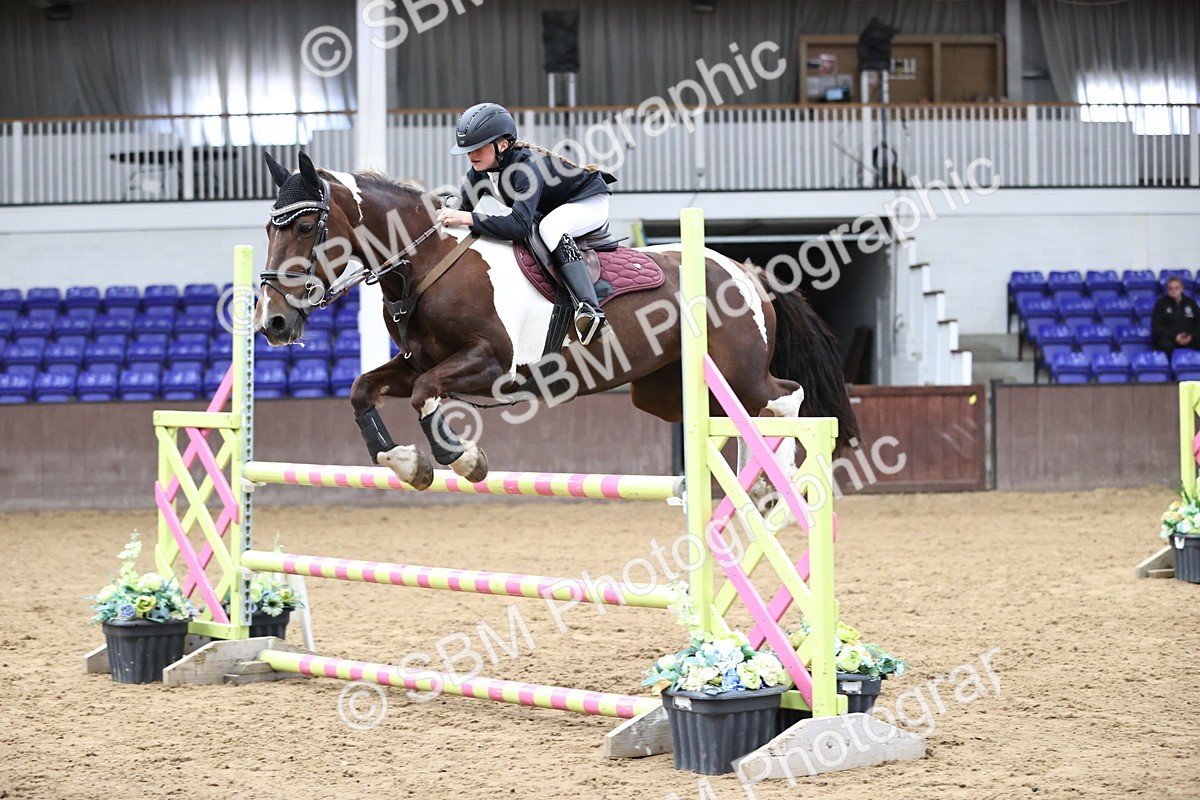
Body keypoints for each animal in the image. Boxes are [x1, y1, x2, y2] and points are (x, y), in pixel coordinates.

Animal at [255, 152, 858, 492]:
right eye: (268, 228)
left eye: (306, 227)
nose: (273, 322)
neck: (426, 264)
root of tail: (747, 271)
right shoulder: (415, 361)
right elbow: (363, 388)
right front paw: (406, 463)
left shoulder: (490, 363)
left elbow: (427, 393)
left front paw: (463, 459)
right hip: (671, 391)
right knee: (742, 418)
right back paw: (757, 486)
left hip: (740, 373)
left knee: (784, 398)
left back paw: (775, 488)